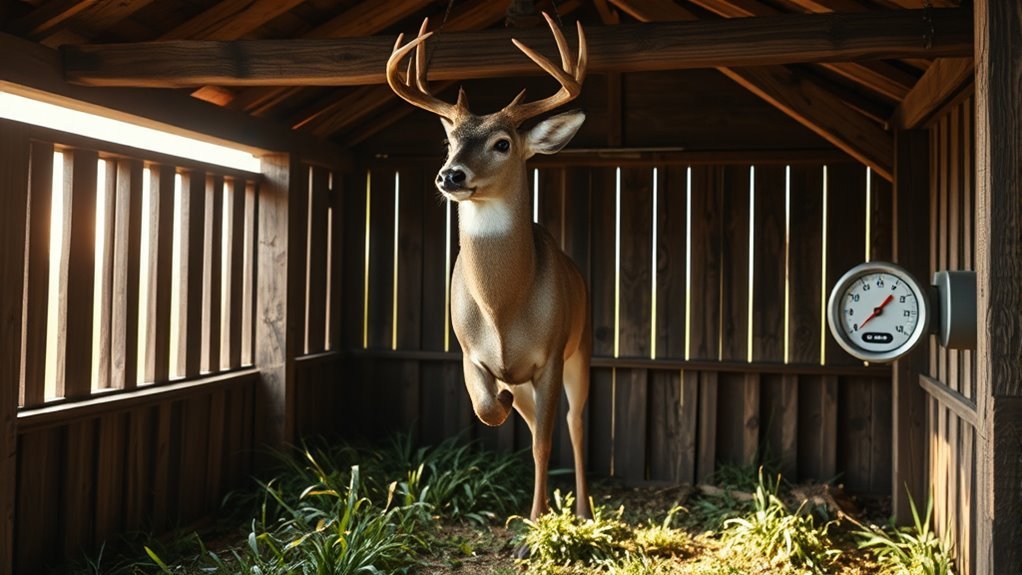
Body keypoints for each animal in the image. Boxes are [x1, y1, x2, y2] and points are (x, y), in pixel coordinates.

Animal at [386, 14, 592, 529]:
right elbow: (486, 410)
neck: (502, 308)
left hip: (583, 347)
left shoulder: (551, 354)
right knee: (535, 418)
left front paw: (538, 521)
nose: (450, 175)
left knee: (575, 424)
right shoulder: (468, 352)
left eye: (502, 144)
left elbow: (544, 441)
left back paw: (582, 508)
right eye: (449, 141)